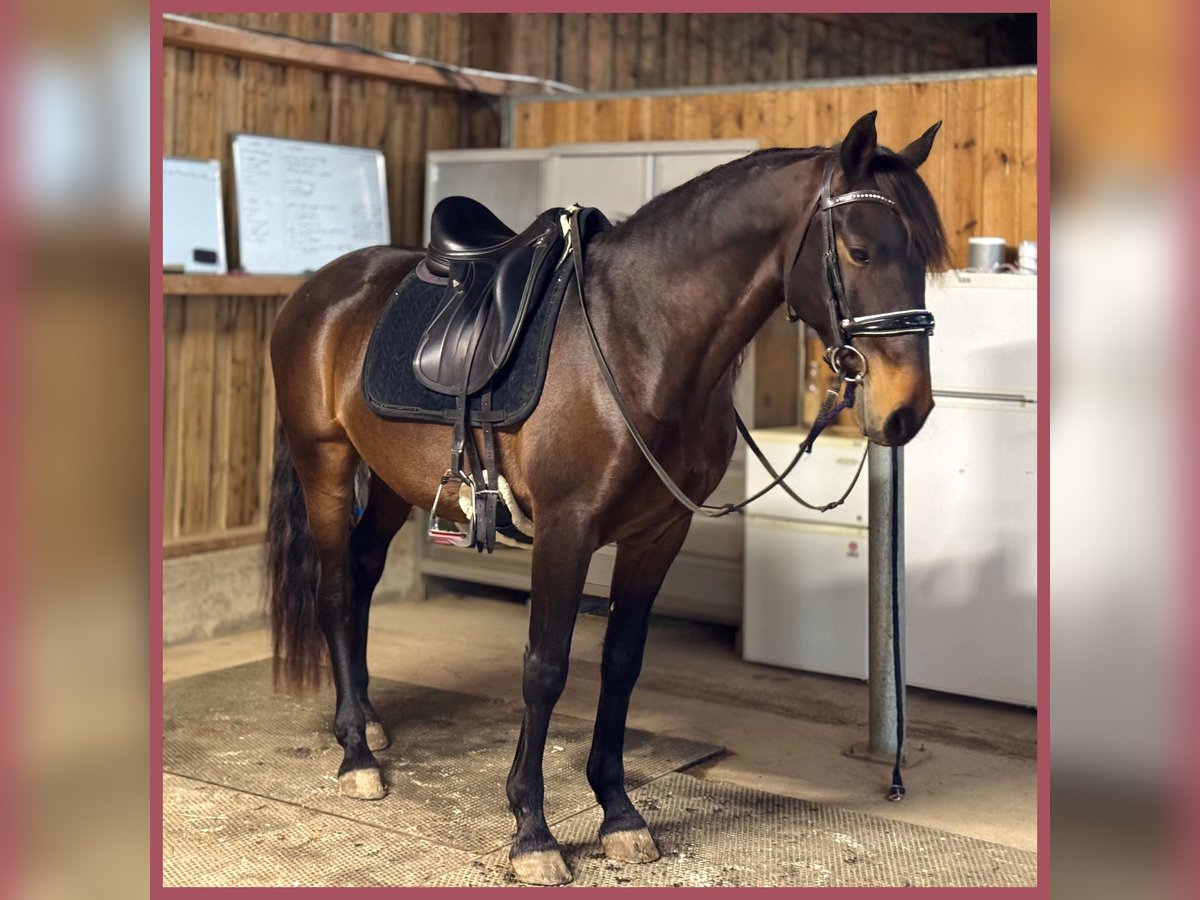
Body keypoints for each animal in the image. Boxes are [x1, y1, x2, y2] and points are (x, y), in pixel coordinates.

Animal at [262, 112, 945, 888]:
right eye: (860, 250)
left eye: (925, 257)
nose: (907, 411)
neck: (640, 343)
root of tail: (322, 286)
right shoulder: (568, 530)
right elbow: (545, 669)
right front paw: (531, 831)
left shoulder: (659, 534)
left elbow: (621, 664)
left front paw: (619, 813)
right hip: (324, 462)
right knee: (335, 588)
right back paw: (356, 753)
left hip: (389, 482)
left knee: (364, 573)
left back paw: (370, 719)